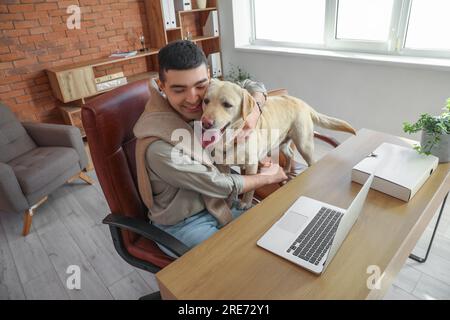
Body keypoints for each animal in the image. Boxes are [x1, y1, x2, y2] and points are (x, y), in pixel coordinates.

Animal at [200, 80, 356, 209]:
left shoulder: (251, 165)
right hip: (283, 143)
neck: (231, 139)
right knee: (290, 154)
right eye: (206, 101)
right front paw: (228, 202)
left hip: (304, 144)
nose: (205, 122)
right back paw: (286, 170)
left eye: (227, 105)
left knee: (310, 160)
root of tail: (303, 103)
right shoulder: (223, 166)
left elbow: (249, 189)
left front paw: (245, 203)